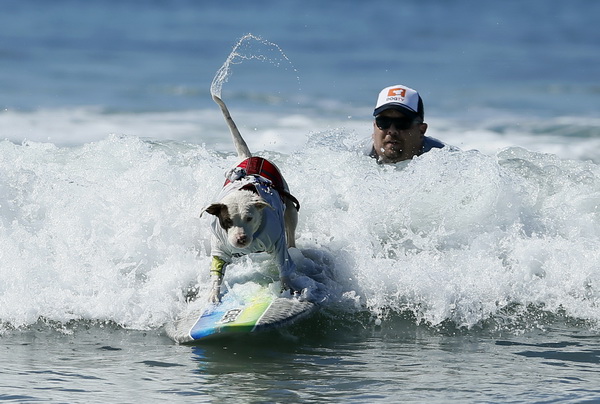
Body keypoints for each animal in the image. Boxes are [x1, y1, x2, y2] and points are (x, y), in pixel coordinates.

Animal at [200, 95, 300, 304]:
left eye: (249, 218)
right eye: (227, 220)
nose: (241, 239)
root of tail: (249, 158)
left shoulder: (276, 241)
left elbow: (283, 264)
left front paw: (288, 286)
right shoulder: (220, 248)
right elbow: (216, 272)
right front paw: (213, 294)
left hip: (290, 208)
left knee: (291, 229)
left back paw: (294, 248)